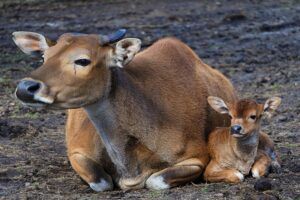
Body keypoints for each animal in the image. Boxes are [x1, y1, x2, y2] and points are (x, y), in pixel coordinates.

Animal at [11, 28, 237, 191]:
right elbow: (101, 182)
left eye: (82, 60)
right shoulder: (76, 151)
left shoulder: (197, 158)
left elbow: (155, 181)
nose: (25, 87)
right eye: (44, 57)